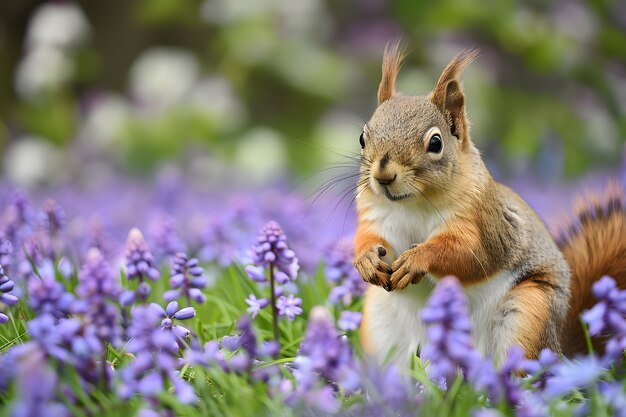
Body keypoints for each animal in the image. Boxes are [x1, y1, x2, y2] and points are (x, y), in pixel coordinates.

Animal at [352, 43, 624, 368]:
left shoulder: (486, 223)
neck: (412, 205)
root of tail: (561, 351)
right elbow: (366, 239)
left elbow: (468, 253)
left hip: (529, 313)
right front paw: (366, 259)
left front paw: (417, 258)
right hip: (379, 323)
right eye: (362, 138)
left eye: (436, 143)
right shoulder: (374, 217)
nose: (383, 175)